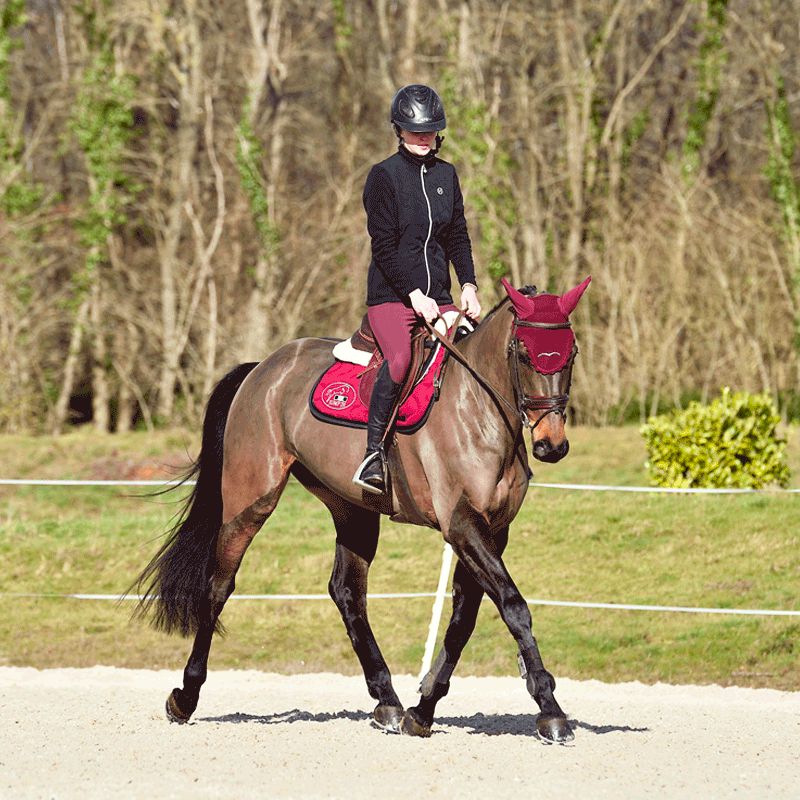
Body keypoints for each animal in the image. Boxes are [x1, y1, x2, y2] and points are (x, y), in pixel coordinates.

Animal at [133, 276, 591, 743]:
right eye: (524, 352)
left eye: (570, 353)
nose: (551, 446)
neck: (480, 411)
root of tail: (264, 367)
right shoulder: (463, 525)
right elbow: (514, 606)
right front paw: (550, 711)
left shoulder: (492, 530)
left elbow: (464, 620)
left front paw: (421, 711)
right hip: (250, 501)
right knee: (218, 586)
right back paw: (185, 698)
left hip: (352, 509)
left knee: (347, 592)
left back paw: (387, 701)